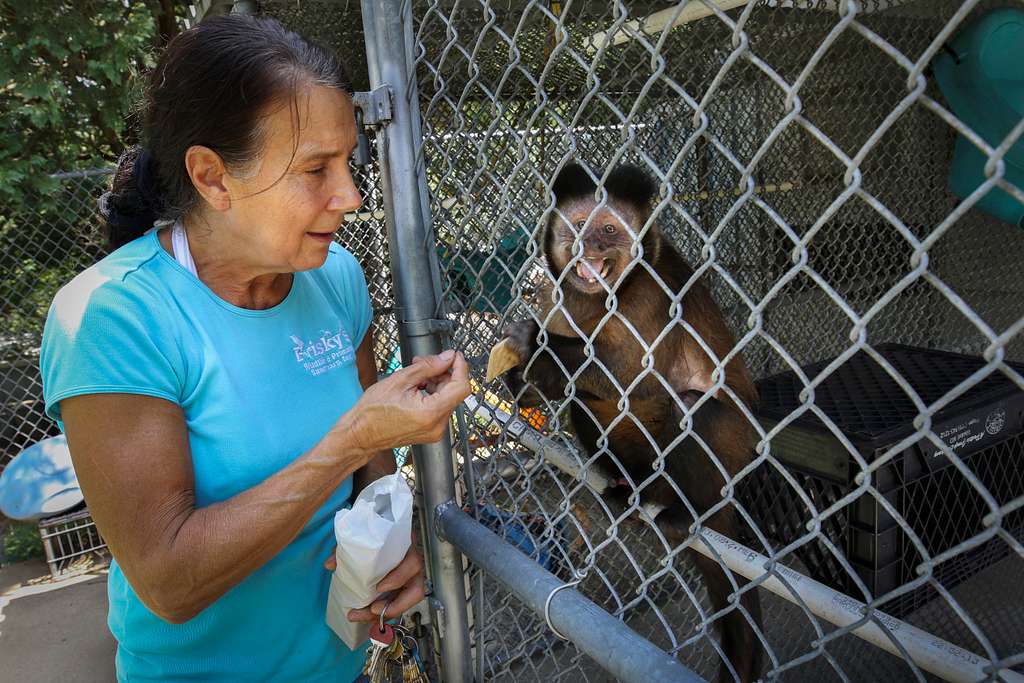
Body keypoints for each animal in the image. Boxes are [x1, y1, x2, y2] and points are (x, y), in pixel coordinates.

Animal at [499, 163, 765, 683]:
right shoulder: (557, 298)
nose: (587, 248)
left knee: (693, 408)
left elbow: (633, 376)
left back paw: (692, 513)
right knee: (585, 404)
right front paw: (520, 381)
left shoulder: (651, 292)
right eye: (579, 225)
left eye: (608, 230)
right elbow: (575, 387)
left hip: (733, 458)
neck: (598, 297)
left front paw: (532, 345)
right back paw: (624, 491)